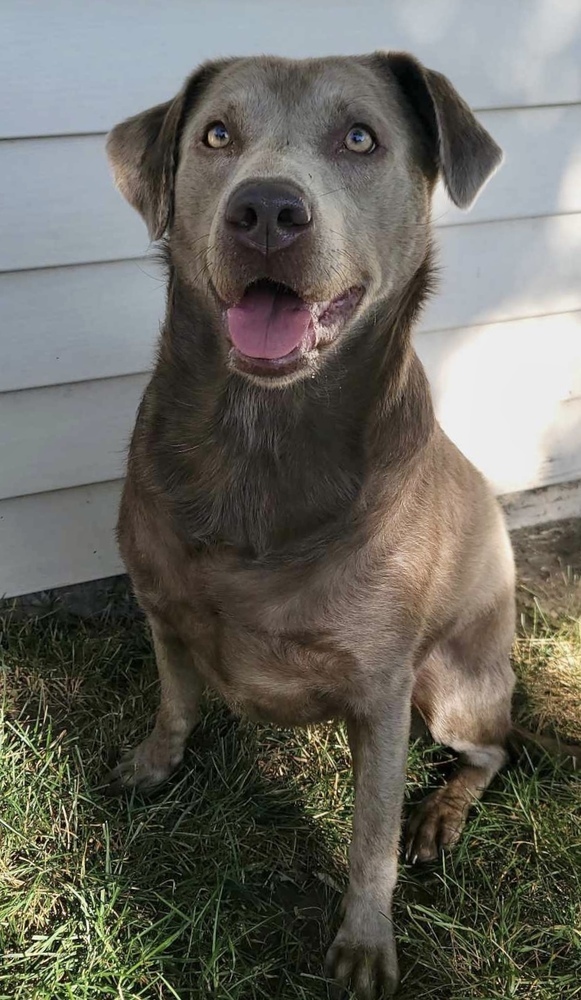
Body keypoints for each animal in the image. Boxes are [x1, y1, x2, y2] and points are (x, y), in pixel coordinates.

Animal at [106, 54, 516, 1000]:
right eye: (216, 134)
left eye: (360, 137)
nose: (264, 210)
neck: (261, 438)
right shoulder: (160, 608)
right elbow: (176, 697)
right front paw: (153, 760)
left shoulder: (382, 691)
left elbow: (369, 839)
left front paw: (365, 945)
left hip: (454, 685)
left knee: (490, 752)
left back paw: (439, 814)